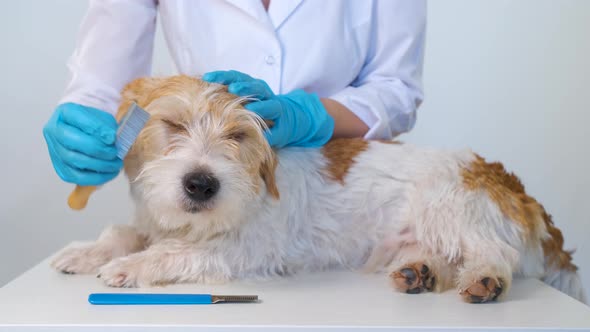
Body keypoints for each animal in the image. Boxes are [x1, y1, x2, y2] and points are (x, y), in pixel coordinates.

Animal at [52, 75, 588, 304]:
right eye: (173, 124)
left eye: (239, 136)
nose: (201, 184)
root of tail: (509, 182)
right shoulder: (155, 219)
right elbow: (126, 232)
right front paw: (85, 251)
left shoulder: (249, 249)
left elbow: (172, 251)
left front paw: (131, 266)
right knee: (440, 256)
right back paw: (419, 273)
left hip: (448, 206)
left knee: (494, 253)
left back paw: (485, 280)